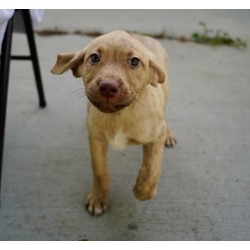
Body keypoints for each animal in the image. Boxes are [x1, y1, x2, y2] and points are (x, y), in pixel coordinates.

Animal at [51, 30, 176, 216]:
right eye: (94, 57)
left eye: (134, 61)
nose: (108, 87)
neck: (119, 116)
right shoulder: (96, 139)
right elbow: (99, 170)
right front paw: (99, 197)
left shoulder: (155, 138)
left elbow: (151, 169)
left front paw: (141, 190)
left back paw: (169, 133)